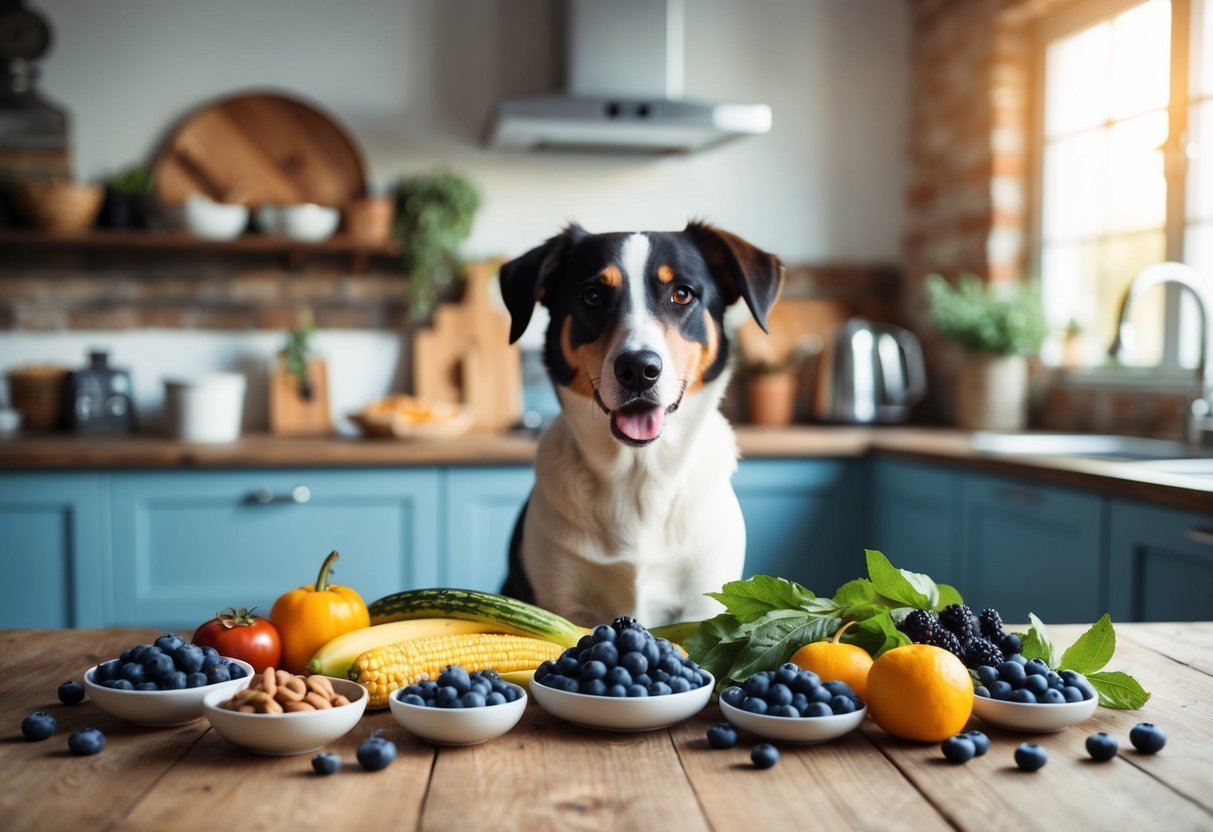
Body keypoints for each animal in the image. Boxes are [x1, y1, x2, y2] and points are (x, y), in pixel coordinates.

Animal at [497, 219, 781, 625]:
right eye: (592, 297)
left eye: (682, 294)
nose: (638, 369)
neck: (639, 474)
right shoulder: (559, 599)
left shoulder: (704, 599)